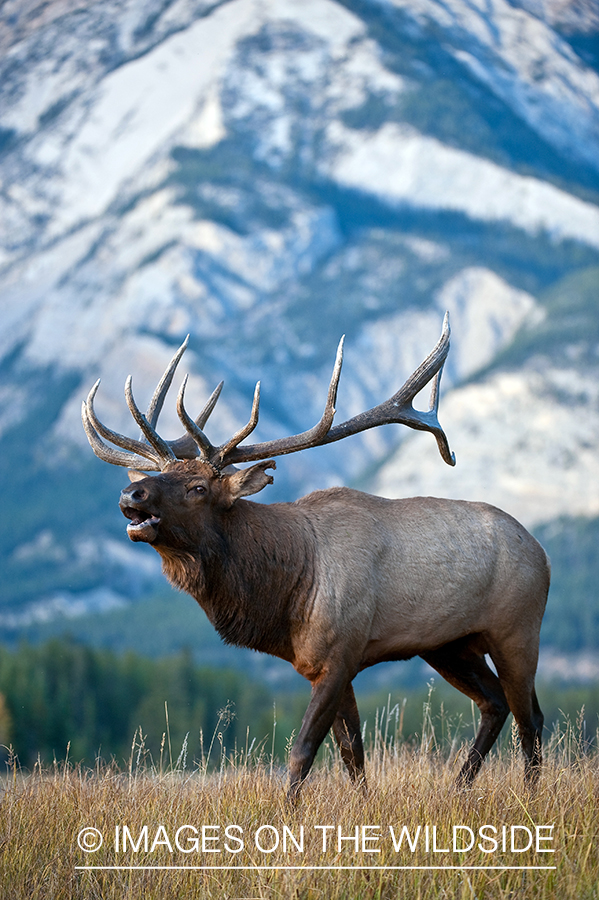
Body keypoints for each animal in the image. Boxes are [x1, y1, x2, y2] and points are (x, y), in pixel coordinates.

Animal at [82, 318, 552, 800]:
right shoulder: (319, 664)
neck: (286, 593)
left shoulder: (341, 653)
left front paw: (287, 811)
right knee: (495, 703)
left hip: (517, 628)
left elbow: (303, 751)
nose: (131, 494)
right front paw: (363, 805)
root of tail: (541, 551)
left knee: (531, 717)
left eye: (198, 487)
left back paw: (530, 797)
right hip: (449, 644)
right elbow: (352, 752)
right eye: (158, 475)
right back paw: (457, 789)